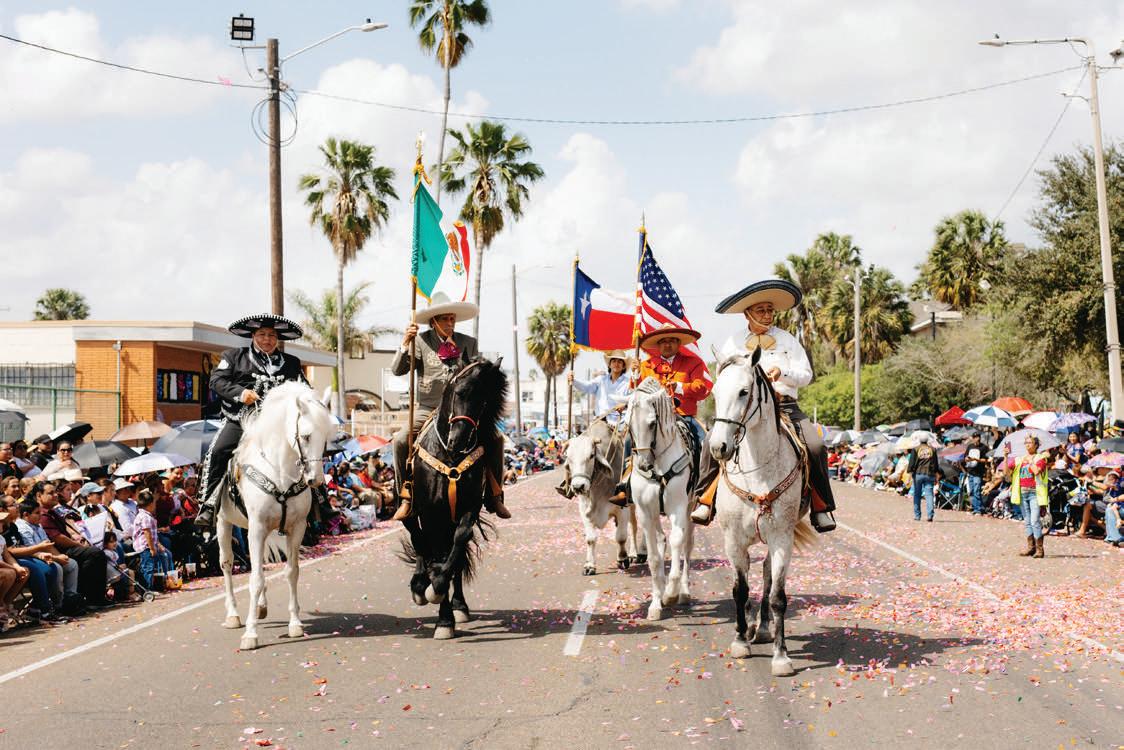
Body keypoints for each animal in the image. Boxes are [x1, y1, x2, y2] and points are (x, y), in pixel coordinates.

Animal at [215, 382, 334, 651]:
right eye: (306, 436)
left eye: (325, 437)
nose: (316, 480)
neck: (280, 472)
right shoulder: (258, 527)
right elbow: (255, 579)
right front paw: (250, 635)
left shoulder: (296, 527)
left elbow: (291, 572)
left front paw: (295, 624)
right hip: (224, 522)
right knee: (227, 563)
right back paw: (233, 614)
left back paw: (260, 606)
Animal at [400, 357, 508, 640]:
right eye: (459, 392)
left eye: (485, 400)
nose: (458, 440)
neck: (449, 457)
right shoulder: (431, 512)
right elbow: (432, 550)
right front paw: (439, 610)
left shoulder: (467, 509)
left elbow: (455, 549)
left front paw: (440, 593)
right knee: (418, 539)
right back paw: (419, 584)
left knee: (454, 555)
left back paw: (458, 604)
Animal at [562, 418, 642, 576]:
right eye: (568, 457)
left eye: (591, 456)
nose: (578, 486)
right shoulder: (584, 511)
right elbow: (590, 539)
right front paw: (589, 566)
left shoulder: (622, 509)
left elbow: (621, 537)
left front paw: (623, 559)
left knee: (636, 526)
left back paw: (636, 554)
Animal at [626, 377, 697, 621]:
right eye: (629, 425)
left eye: (651, 423)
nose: (643, 464)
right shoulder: (645, 512)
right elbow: (654, 557)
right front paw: (656, 602)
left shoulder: (678, 507)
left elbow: (677, 541)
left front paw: (671, 593)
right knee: (660, 539)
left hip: (690, 509)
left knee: (686, 546)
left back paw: (683, 592)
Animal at [708, 348, 816, 677]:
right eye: (714, 392)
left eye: (744, 391)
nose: (718, 447)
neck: (758, 469)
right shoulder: (733, 540)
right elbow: (739, 591)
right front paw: (740, 640)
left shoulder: (782, 538)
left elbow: (778, 596)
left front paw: (781, 657)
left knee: (767, 574)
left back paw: (765, 627)